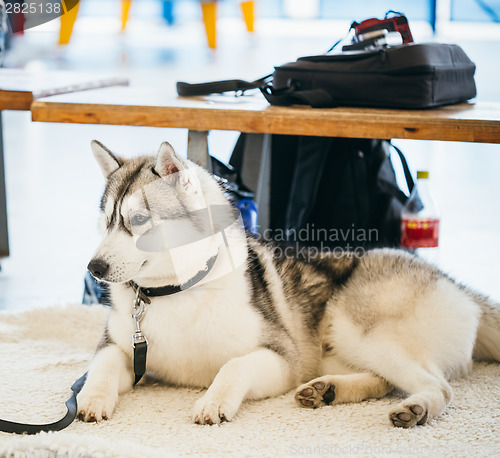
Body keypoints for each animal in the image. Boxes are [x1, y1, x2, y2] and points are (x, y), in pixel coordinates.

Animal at [78, 141, 500, 428]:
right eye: (107, 220)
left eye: (139, 220)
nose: (94, 266)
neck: (178, 291)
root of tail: (458, 285)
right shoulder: (121, 347)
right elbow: (101, 365)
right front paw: (91, 397)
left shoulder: (283, 359)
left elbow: (233, 366)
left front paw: (214, 401)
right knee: (383, 380)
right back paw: (329, 389)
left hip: (353, 327)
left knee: (440, 387)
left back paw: (416, 407)